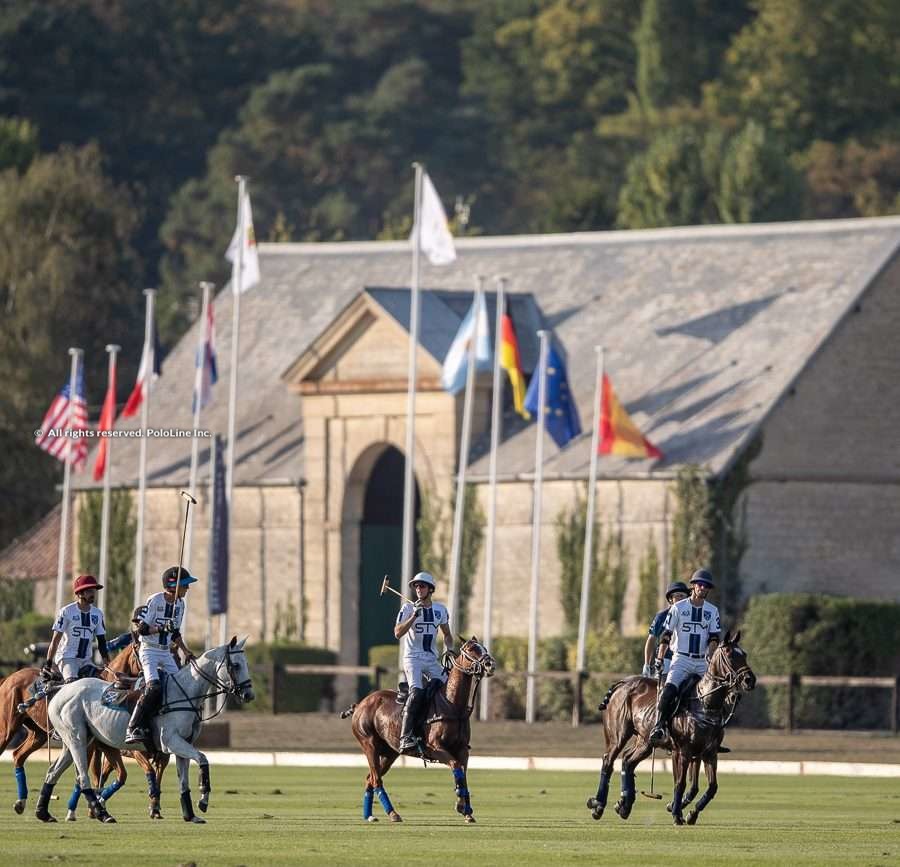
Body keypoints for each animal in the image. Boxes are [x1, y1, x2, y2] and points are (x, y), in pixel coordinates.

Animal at [34, 636, 253, 828]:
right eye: (236, 665)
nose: (249, 695)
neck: (185, 694)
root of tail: (61, 689)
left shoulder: (181, 745)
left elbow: (183, 782)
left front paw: (190, 815)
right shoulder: (171, 741)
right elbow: (203, 759)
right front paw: (203, 800)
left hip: (76, 741)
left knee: (53, 771)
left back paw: (43, 813)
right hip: (77, 739)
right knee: (83, 777)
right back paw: (102, 813)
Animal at [342, 636, 496, 828]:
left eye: (483, 648)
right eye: (470, 649)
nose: (490, 664)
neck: (452, 704)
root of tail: (359, 705)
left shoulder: (462, 749)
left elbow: (462, 773)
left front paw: (466, 810)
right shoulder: (435, 748)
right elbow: (456, 766)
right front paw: (461, 806)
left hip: (389, 752)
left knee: (370, 778)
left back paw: (369, 815)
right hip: (369, 744)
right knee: (376, 779)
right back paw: (393, 813)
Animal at [588, 632, 756, 828]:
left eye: (744, 654)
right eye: (729, 654)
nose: (750, 680)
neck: (704, 703)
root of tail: (623, 683)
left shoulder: (709, 752)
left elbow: (712, 786)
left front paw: (691, 813)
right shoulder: (683, 751)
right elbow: (680, 783)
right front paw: (677, 814)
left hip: (645, 741)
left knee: (628, 761)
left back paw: (625, 804)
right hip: (617, 735)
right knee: (608, 761)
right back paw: (598, 805)